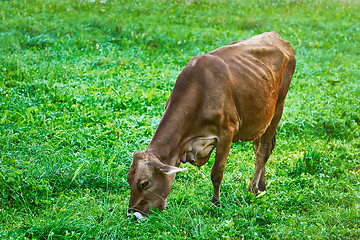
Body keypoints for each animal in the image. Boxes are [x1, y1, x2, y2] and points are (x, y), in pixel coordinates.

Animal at [126, 31, 296, 221]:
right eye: (128, 179)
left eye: (145, 183)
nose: (132, 214)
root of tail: (277, 36)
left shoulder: (226, 133)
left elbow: (217, 172)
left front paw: (216, 204)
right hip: (261, 117)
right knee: (259, 148)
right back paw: (262, 187)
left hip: (278, 107)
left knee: (263, 151)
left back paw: (252, 191)